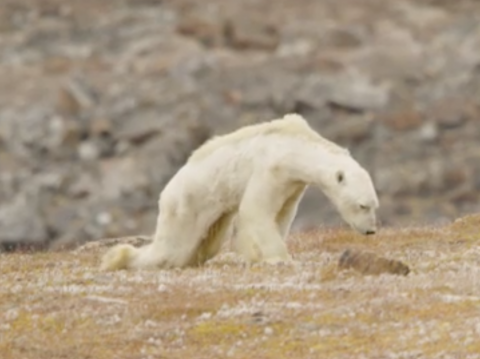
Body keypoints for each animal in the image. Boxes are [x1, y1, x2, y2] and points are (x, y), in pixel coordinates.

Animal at [101, 114, 378, 272]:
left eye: (375, 205)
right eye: (362, 205)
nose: (370, 231)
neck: (295, 145)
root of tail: (166, 192)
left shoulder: (292, 183)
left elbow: (281, 214)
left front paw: (254, 254)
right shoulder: (271, 168)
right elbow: (256, 210)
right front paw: (279, 259)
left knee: (204, 246)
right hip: (186, 204)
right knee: (172, 249)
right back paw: (118, 258)